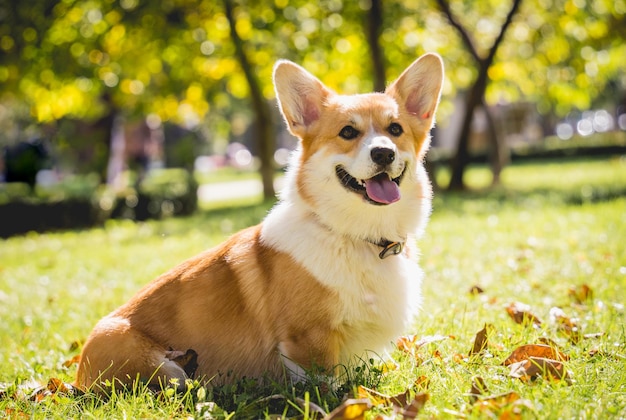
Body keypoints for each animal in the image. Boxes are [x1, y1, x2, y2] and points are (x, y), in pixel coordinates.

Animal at [74, 53, 444, 394]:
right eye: (348, 132)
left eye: (395, 130)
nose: (383, 153)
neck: (359, 236)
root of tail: (77, 379)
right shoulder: (308, 339)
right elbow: (325, 387)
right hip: (156, 365)